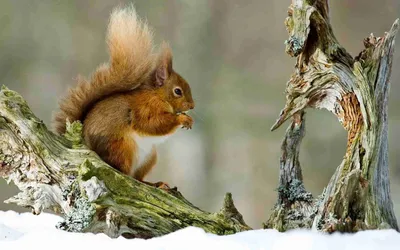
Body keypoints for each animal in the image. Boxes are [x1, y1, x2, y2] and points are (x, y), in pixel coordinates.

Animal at [51, 4, 195, 188]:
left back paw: (155, 184)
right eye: (178, 91)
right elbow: (153, 124)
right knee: (123, 171)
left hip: (149, 157)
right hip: (122, 148)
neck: (157, 95)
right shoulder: (145, 107)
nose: (192, 106)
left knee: (137, 177)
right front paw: (182, 119)